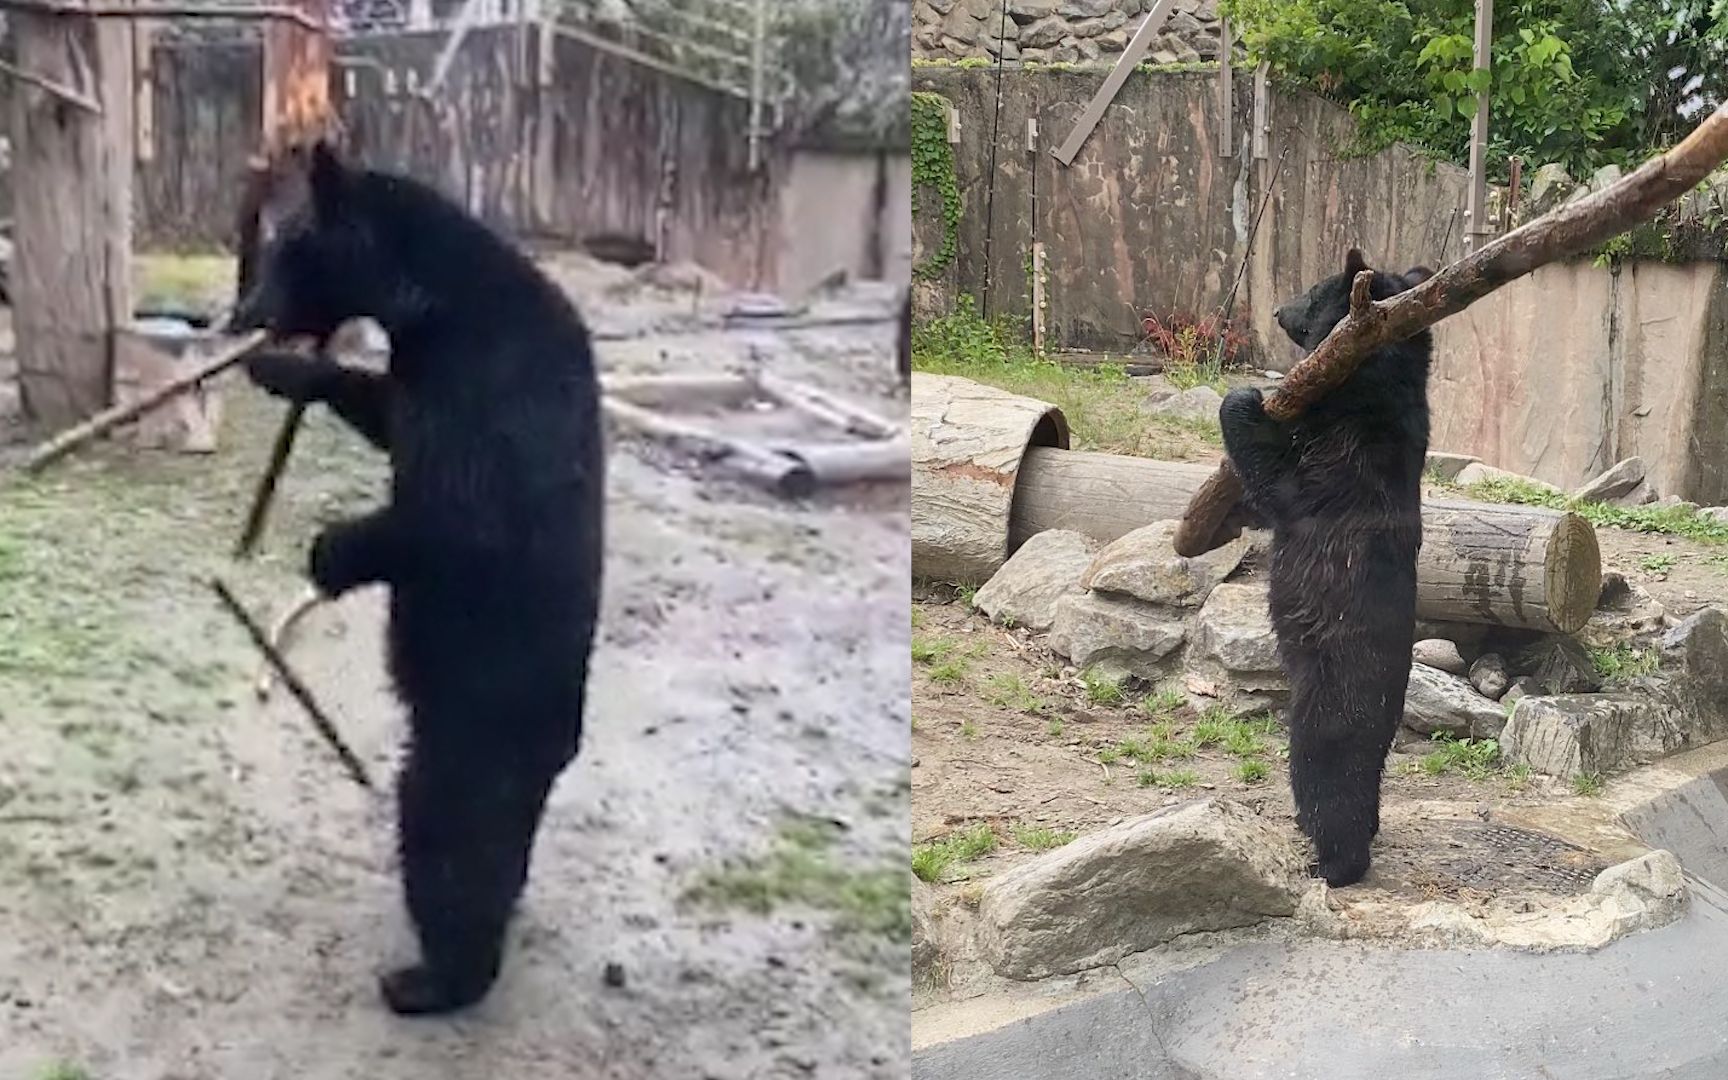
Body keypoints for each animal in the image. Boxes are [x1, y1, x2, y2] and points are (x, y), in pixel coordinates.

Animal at [228, 140, 608, 1009]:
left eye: (286, 253)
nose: (241, 317)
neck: (430, 302)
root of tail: (558, 743)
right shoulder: (413, 376)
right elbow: (381, 409)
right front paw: (284, 372)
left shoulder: (487, 388)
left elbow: (457, 518)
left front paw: (331, 552)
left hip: (468, 733)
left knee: (449, 844)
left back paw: (431, 981)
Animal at [1223, 250, 1437, 884]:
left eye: (1312, 290)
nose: (1276, 310)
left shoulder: (1339, 459)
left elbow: (1276, 482)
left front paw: (1241, 400)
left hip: (1328, 706)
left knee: (1325, 779)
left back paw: (1332, 862)